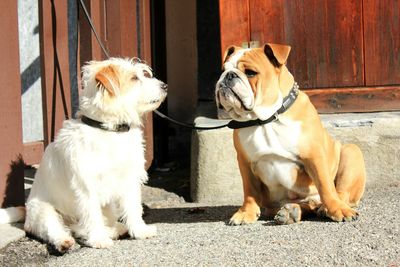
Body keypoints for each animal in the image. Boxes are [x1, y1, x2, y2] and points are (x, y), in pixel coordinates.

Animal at [0, 58, 166, 253]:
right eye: (134, 78)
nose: (164, 86)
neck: (109, 130)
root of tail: (27, 210)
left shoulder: (129, 179)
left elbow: (133, 208)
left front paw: (140, 231)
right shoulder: (87, 186)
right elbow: (92, 214)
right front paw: (99, 240)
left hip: (106, 208)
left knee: (86, 226)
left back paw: (116, 229)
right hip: (44, 211)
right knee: (58, 230)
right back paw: (66, 242)